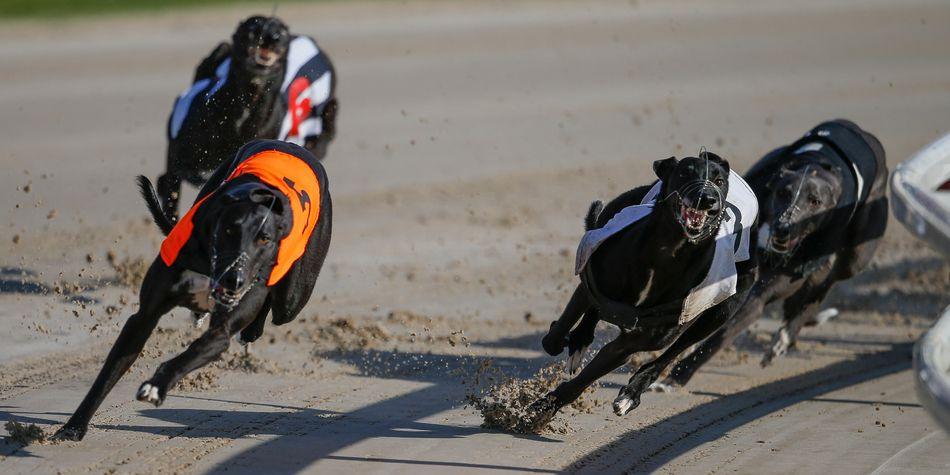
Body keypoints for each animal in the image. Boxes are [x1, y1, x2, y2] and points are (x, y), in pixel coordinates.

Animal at [55, 140, 332, 442]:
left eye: (265, 238)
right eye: (229, 230)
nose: (234, 280)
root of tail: (290, 144)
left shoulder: (222, 330)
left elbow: (198, 348)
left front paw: (156, 386)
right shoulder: (145, 316)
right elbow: (109, 372)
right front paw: (73, 427)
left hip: (294, 295)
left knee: (279, 304)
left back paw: (251, 328)